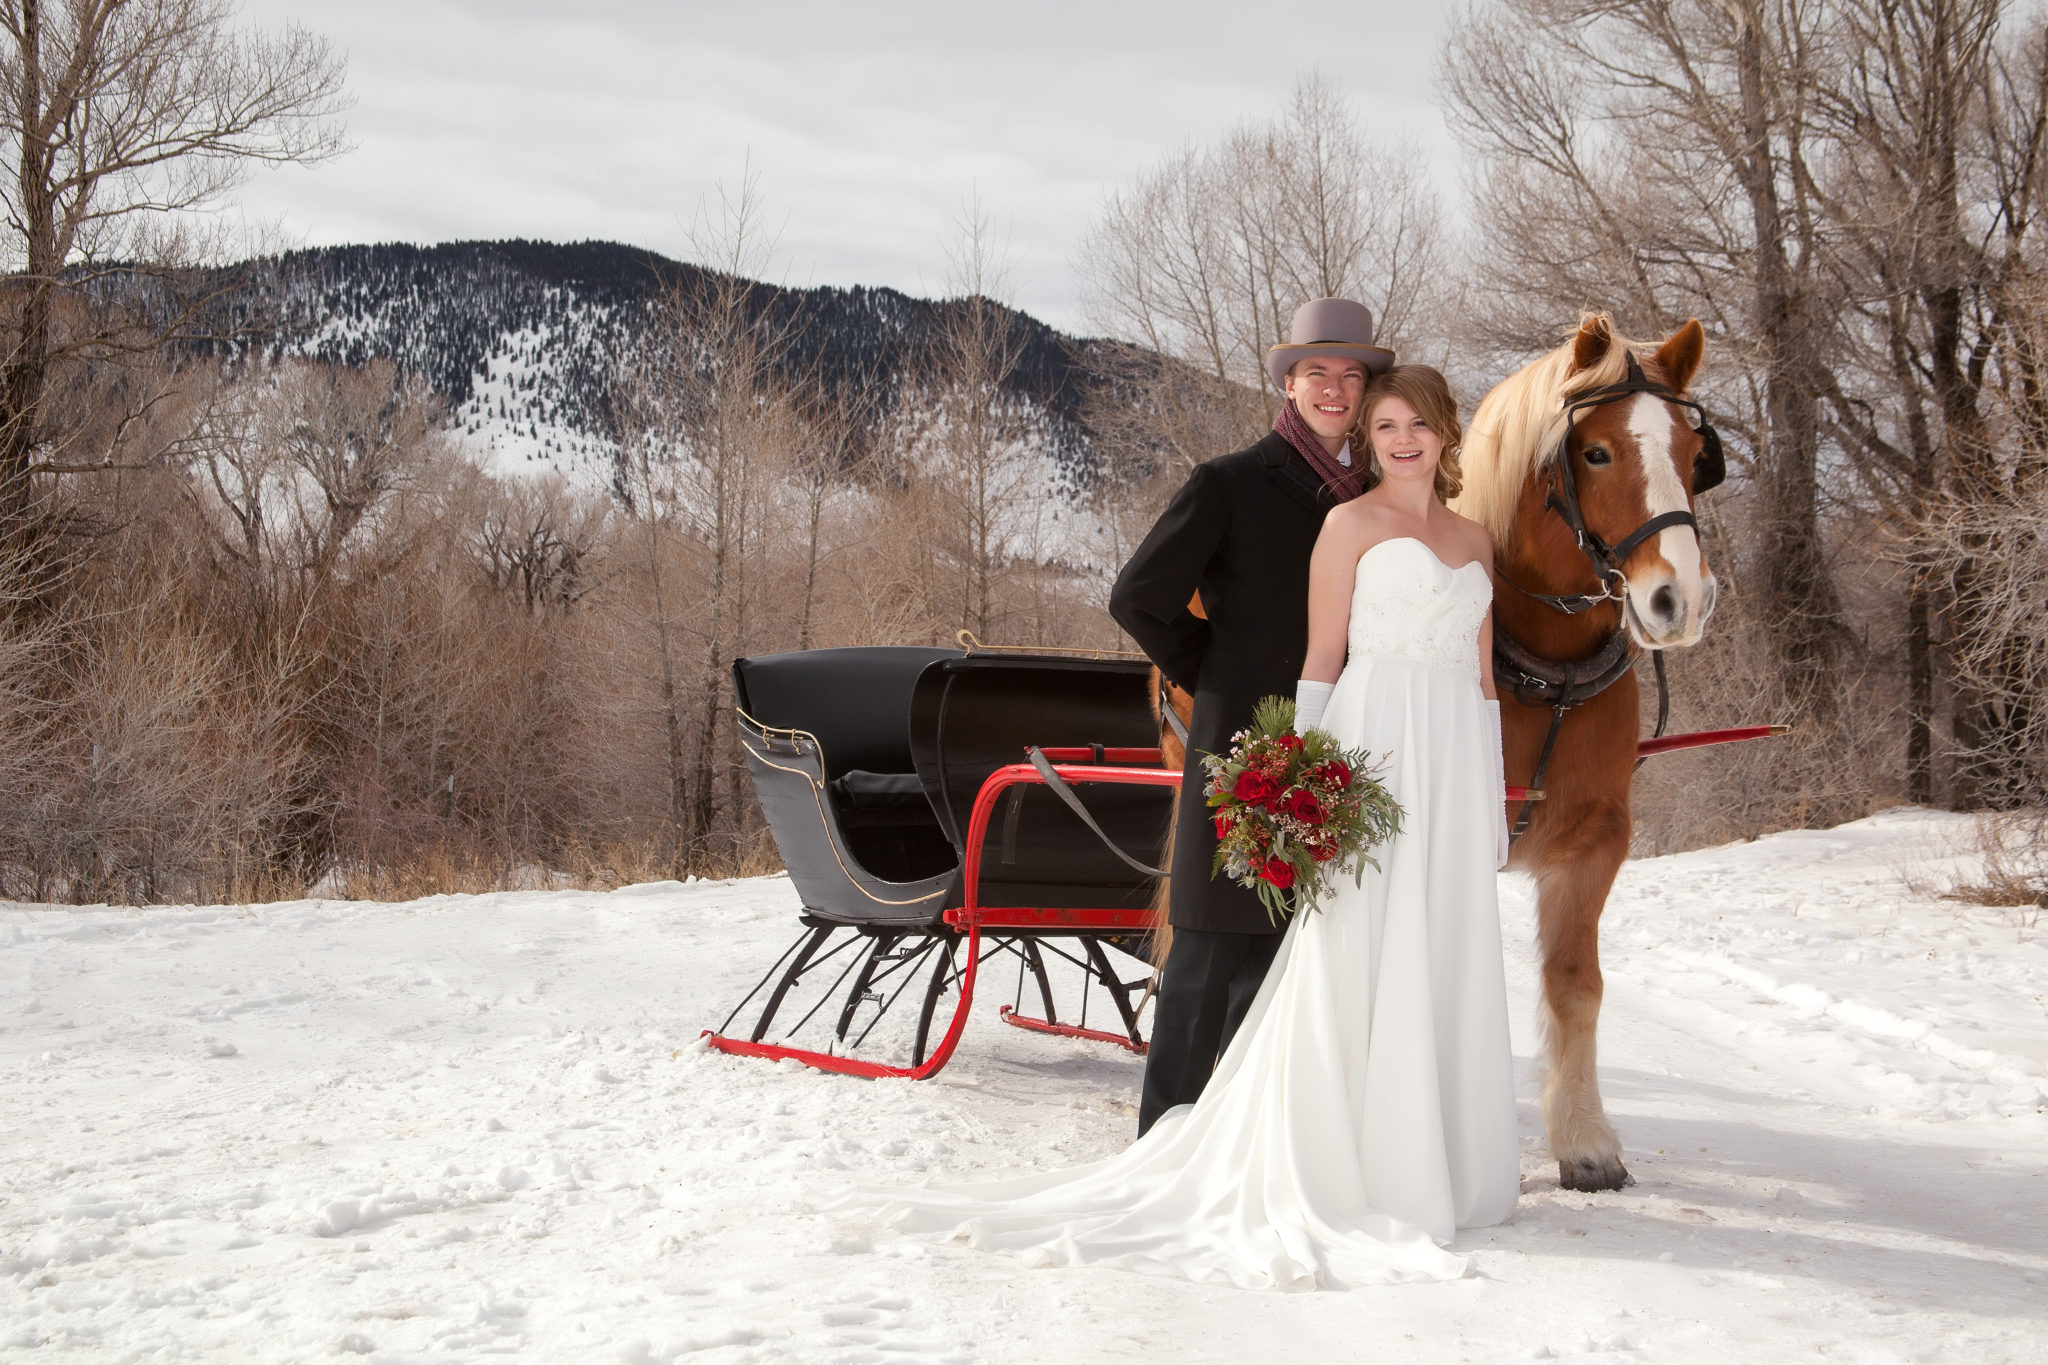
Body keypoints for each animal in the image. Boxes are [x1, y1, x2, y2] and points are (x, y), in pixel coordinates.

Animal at [1146, 315, 1720, 1186]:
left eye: (1694, 453)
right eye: (1596, 452)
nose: (1678, 599)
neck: (1542, 664)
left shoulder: (1596, 841)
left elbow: (1576, 985)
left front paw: (1584, 1140)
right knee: (1197, 937)